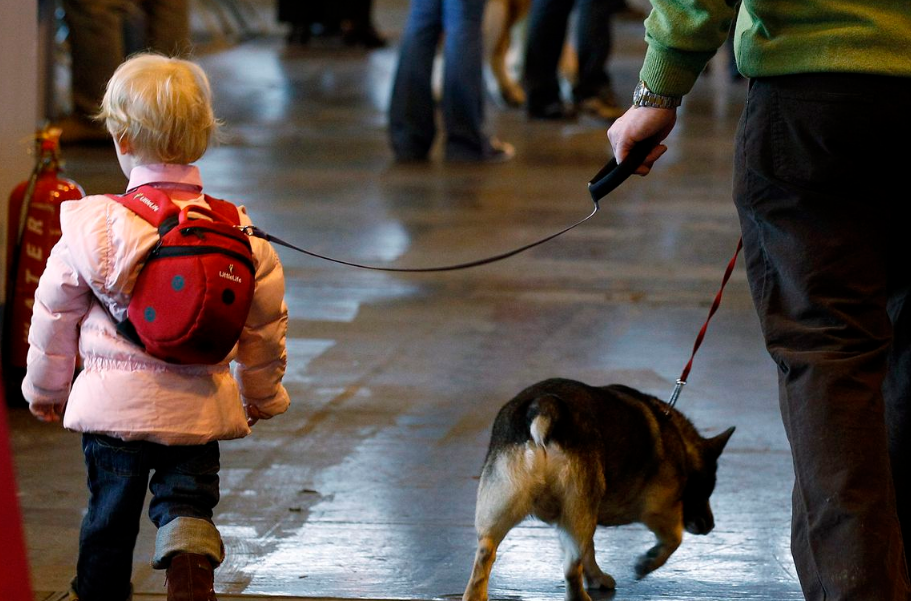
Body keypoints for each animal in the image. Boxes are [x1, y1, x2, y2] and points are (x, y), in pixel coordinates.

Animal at [464, 380, 732, 600]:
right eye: (706, 489)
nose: (710, 526)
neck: (682, 445)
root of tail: (544, 406)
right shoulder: (659, 510)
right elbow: (673, 540)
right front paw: (648, 562)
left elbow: (590, 551)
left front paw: (596, 577)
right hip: (579, 509)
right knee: (571, 569)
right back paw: (581, 598)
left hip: (517, 508)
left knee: (485, 554)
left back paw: (475, 595)